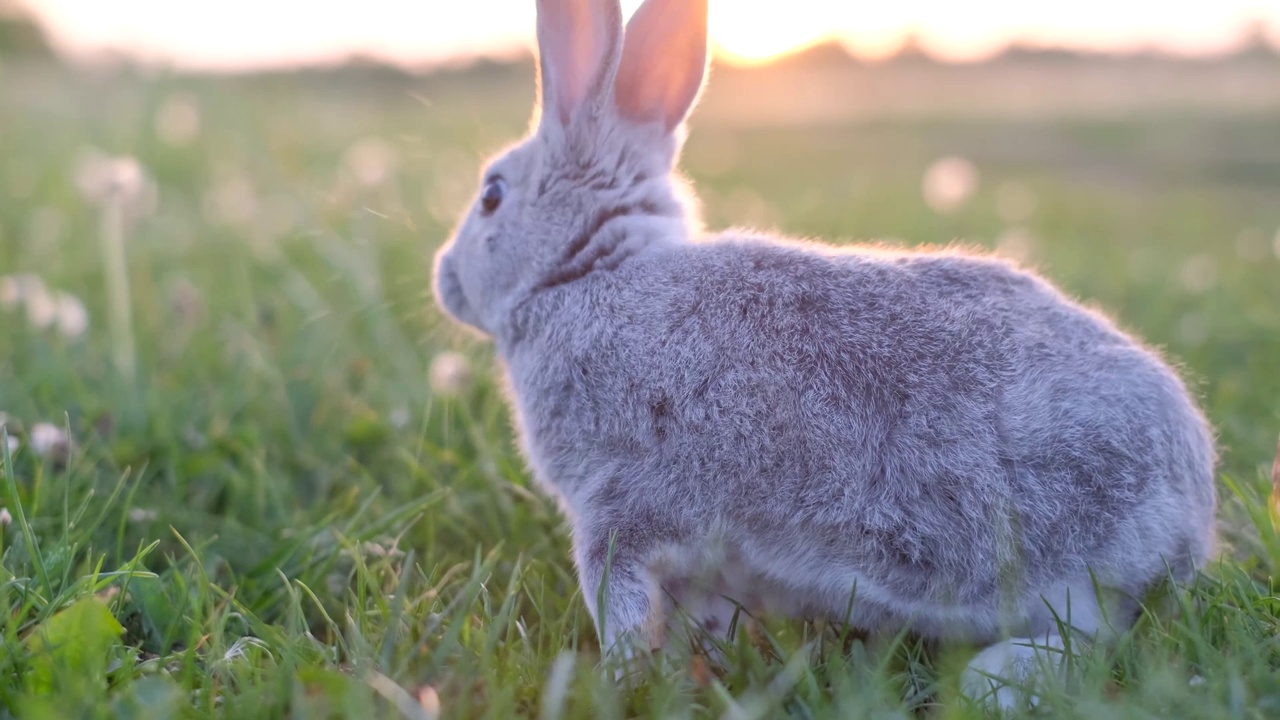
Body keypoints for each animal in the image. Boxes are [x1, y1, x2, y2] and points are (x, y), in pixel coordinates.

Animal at [424, 0, 1213, 707]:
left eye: (492, 195)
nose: (443, 278)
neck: (588, 275)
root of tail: (1189, 515)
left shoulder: (614, 511)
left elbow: (620, 603)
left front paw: (622, 680)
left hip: (1063, 564)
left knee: (1090, 638)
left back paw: (993, 682)